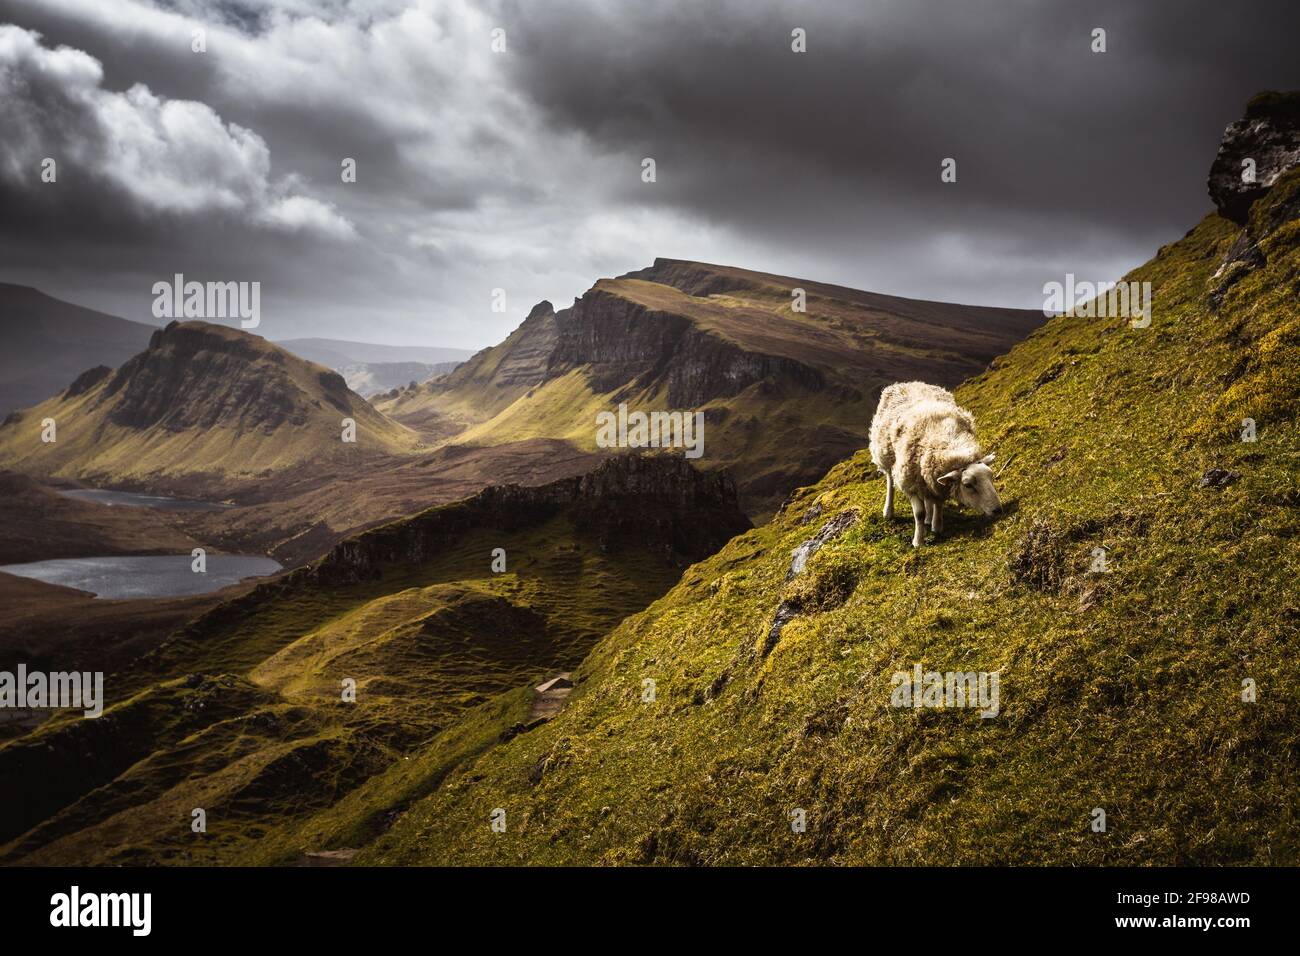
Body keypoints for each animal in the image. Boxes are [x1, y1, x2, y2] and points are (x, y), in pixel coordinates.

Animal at [868, 379, 998, 546]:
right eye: (968, 485)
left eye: (991, 477)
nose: (998, 509)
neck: (947, 440)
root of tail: (907, 382)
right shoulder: (910, 483)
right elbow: (919, 513)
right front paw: (918, 541)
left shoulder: (935, 480)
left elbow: (938, 502)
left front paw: (936, 526)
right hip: (885, 456)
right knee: (890, 481)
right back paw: (888, 511)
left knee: (927, 497)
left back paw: (929, 518)